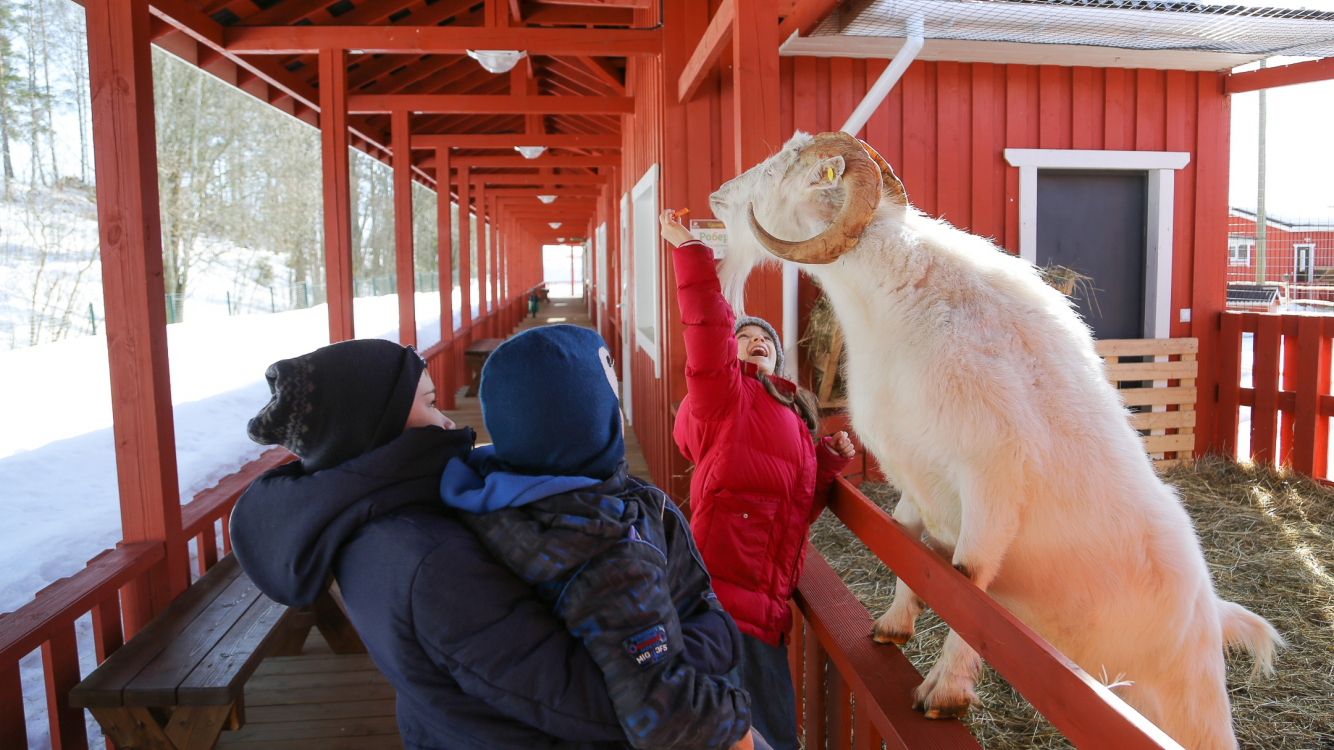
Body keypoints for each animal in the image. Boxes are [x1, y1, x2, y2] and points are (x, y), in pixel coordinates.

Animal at [709, 130, 1280, 747]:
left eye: (783, 168)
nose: (717, 199)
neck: (902, 305)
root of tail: (1213, 611)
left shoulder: (994, 478)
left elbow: (969, 582)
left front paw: (945, 694)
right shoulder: (917, 477)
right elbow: (910, 549)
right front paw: (891, 627)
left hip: (1192, 702)